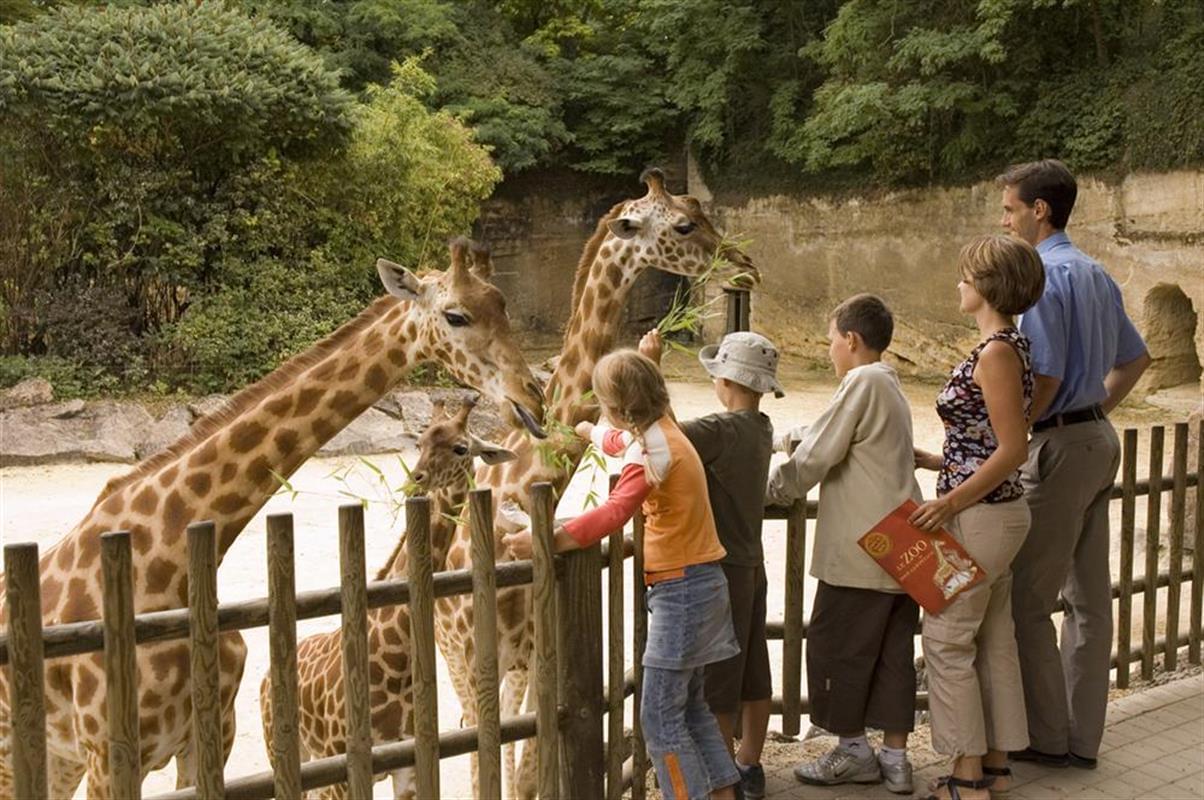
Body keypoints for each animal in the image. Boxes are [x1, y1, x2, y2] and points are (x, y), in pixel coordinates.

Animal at [257, 395, 512, 800]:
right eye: (420, 441)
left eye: (461, 448)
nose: (415, 478)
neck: (395, 661)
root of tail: (266, 679)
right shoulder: (343, 772)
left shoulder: (406, 765)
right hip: (284, 750)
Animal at [428, 167, 756, 795]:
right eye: (684, 224)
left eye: (700, 210)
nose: (744, 265)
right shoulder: (479, 659)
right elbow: (491, 770)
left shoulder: (534, 655)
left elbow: (527, 775)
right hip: (456, 656)